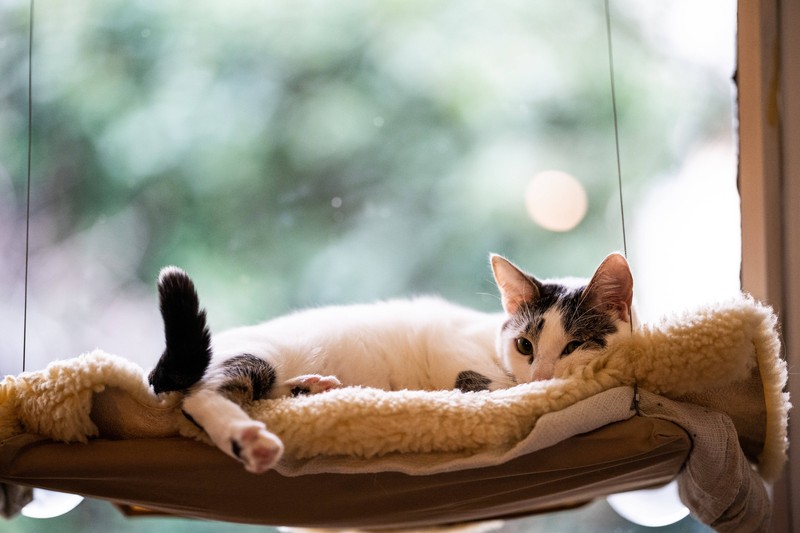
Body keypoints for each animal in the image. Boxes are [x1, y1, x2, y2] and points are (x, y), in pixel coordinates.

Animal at [150, 251, 636, 472]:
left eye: (574, 346)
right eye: (524, 346)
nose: (542, 375)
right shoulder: (447, 341)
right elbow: (484, 383)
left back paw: (313, 387)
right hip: (257, 356)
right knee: (200, 396)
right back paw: (247, 437)